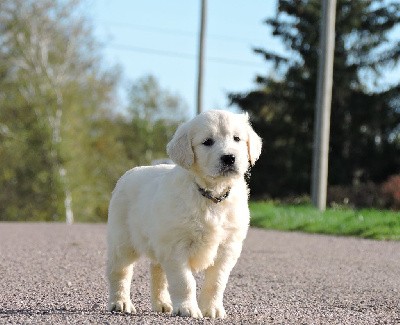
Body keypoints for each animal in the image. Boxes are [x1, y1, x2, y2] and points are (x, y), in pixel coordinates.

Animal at [106, 110, 262, 318]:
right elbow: (185, 282)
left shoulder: (227, 247)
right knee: (120, 271)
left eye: (237, 138)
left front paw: (212, 309)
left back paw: (162, 304)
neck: (211, 195)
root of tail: (129, 173)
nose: (229, 158)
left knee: (157, 269)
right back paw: (120, 302)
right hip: (123, 240)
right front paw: (188, 308)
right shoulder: (175, 247)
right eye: (207, 142)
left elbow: (216, 282)